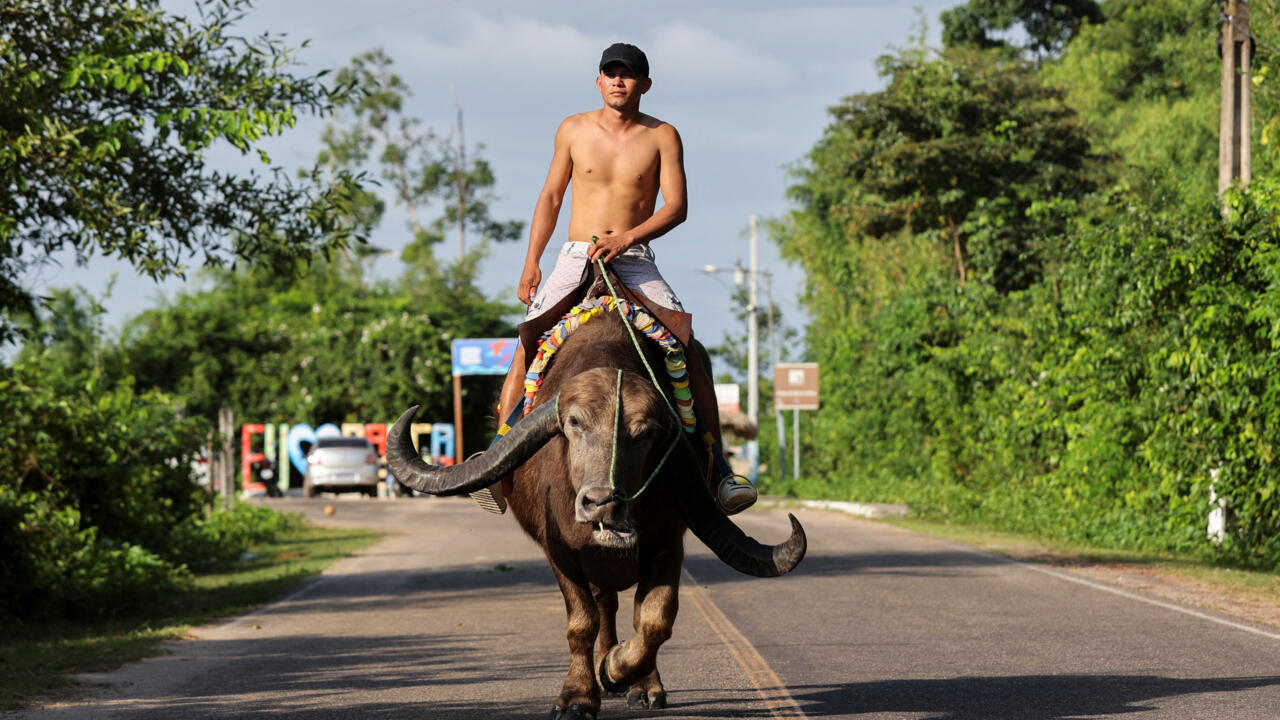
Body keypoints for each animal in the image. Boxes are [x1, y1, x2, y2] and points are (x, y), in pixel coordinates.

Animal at [387, 293, 806, 719]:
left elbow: (654, 620)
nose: (602, 503)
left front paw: (621, 672)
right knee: (604, 606)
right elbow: (582, 622)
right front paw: (579, 695)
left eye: (645, 433)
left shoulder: (668, 543)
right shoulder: (559, 551)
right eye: (575, 423)